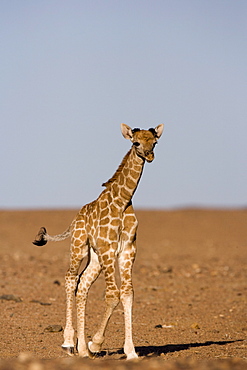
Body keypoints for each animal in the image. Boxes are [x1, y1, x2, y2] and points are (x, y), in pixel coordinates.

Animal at [33, 123, 164, 360]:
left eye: (155, 142)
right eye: (135, 143)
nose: (149, 155)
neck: (122, 202)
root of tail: (74, 220)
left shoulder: (128, 250)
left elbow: (128, 294)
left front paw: (131, 352)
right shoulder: (107, 248)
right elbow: (113, 295)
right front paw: (96, 343)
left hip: (94, 258)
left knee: (83, 284)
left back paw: (82, 349)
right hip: (79, 247)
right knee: (70, 279)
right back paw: (69, 343)